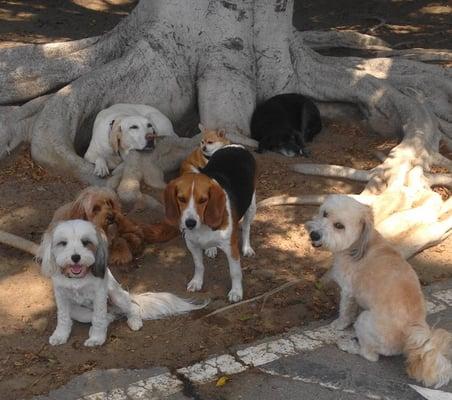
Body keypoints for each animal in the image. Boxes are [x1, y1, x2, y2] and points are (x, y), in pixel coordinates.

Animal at [39, 219, 206, 346]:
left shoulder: (99, 295)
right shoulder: (61, 297)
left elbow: (98, 317)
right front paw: (60, 336)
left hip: (116, 295)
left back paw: (133, 321)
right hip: (78, 311)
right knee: (105, 316)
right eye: (63, 243)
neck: (78, 278)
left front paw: (97, 339)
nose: (75, 257)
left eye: (85, 242)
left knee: (132, 307)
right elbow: (63, 318)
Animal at [306, 195, 452, 390]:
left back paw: (349, 345)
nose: (314, 234)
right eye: (325, 213)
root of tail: (414, 329)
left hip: (366, 320)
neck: (359, 244)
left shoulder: (348, 291)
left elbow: (345, 312)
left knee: (370, 355)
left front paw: (339, 324)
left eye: (339, 226)